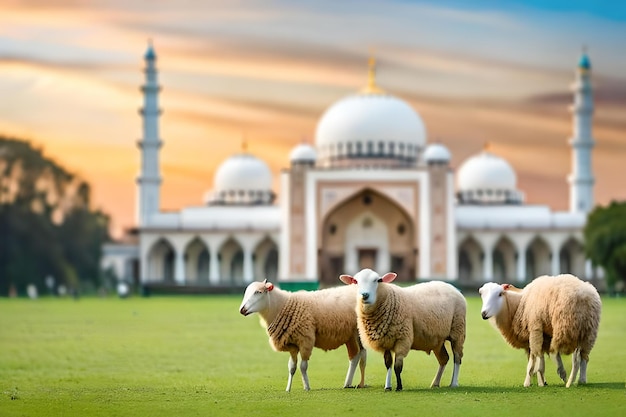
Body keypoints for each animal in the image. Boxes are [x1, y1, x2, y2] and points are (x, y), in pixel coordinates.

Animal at [338, 268, 466, 388]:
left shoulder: (402, 339)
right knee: (444, 358)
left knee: (457, 358)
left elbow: (397, 367)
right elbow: (388, 364)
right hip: (438, 340)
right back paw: (435, 383)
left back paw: (454, 383)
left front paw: (399, 387)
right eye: (355, 281)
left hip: (458, 330)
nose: (365, 295)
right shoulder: (385, 341)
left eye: (378, 280)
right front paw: (388, 386)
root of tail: (452, 287)